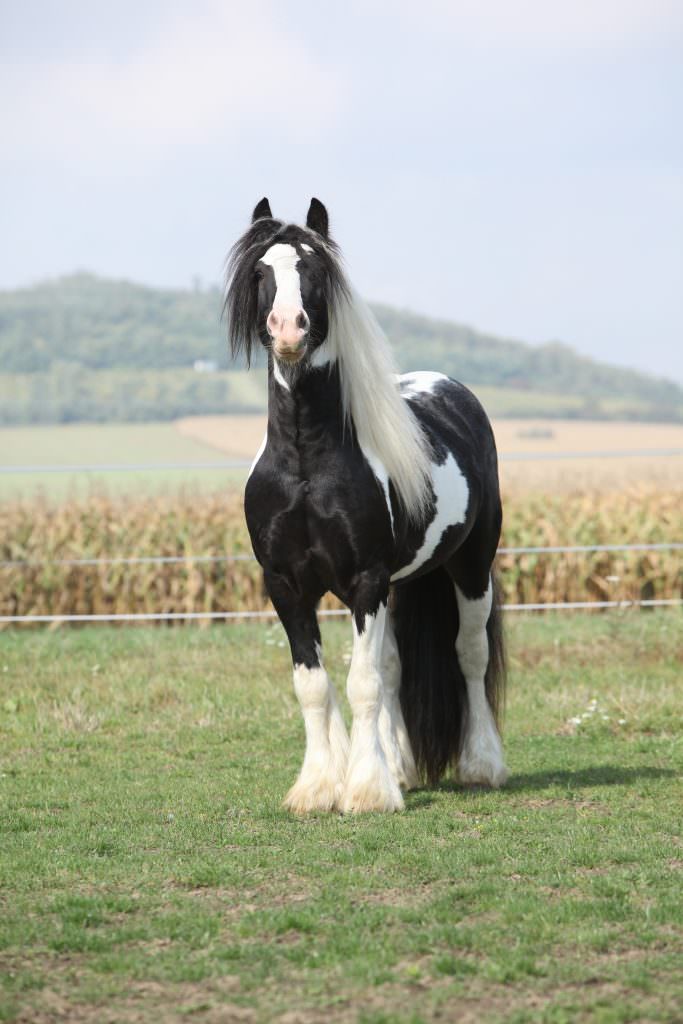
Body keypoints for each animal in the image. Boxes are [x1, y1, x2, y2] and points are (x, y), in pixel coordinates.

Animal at [224, 197, 507, 814]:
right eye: (260, 272)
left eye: (316, 271)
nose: (288, 329)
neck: (306, 463)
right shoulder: (285, 584)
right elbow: (315, 684)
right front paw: (318, 788)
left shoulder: (365, 580)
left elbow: (363, 682)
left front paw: (369, 793)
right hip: (402, 583)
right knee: (395, 666)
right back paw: (400, 766)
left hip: (471, 566)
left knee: (469, 654)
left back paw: (482, 765)